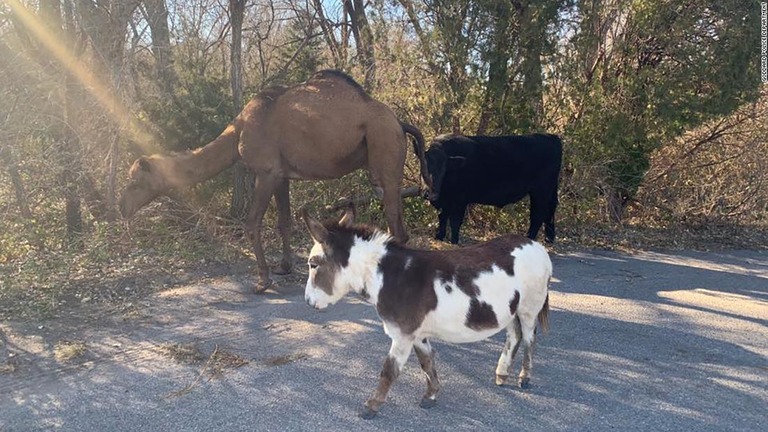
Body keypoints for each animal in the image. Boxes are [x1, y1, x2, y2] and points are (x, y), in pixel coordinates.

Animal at [118, 71, 432, 292]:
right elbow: (284, 220)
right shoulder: (282, 176)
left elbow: (252, 222)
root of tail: (399, 123)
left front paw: (263, 280)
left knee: (396, 225)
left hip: (383, 152)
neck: (239, 130)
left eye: (134, 182)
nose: (120, 208)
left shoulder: (266, 172)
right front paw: (283, 267)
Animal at [424, 133, 560, 245]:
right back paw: (548, 238)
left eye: (443, 168)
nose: (428, 193)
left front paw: (454, 241)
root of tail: (551, 137)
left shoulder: (460, 200)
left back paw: (529, 238)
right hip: (547, 191)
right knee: (549, 211)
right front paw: (439, 236)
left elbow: (455, 221)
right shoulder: (446, 201)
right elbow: (442, 217)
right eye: (425, 167)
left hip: (540, 191)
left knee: (538, 215)